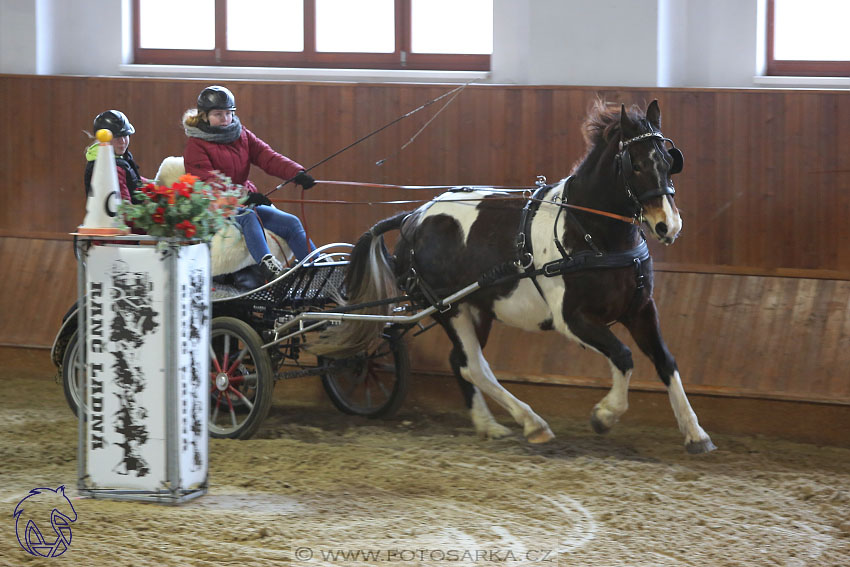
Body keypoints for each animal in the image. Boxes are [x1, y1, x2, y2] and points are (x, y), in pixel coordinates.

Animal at [318, 100, 716, 454]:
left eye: (669, 162)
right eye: (635, 164)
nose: (668, 226)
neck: (589, 233)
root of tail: (412, 218)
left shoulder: (640, 309)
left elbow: (666, 362)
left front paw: (695, 433)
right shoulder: (572, 319)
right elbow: (623, 356)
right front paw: (605, 415)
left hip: (476, 308)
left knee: (462, 363)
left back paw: (489, 424)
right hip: (449, 309)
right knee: (475, 367)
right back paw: (531, 423)